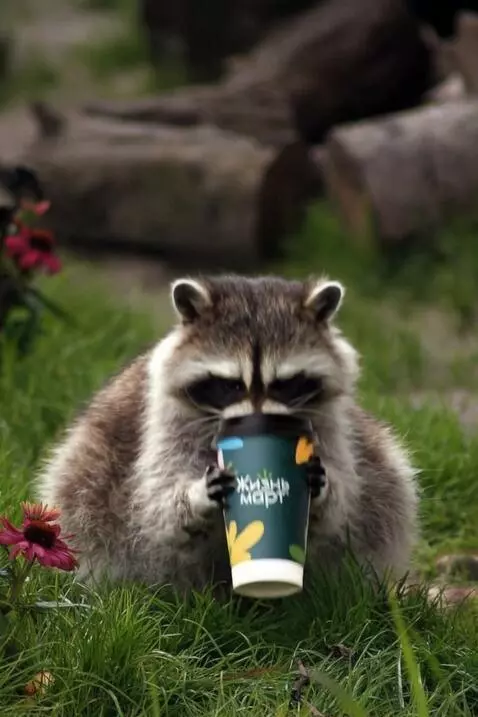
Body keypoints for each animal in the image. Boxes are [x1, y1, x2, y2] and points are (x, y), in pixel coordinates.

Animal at [36, 274, 419, 593]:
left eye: (284, 384)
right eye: (231, 385)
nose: (258, 426)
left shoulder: (328, 418)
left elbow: (342, 494)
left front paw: (322, 488)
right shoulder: (166, 418)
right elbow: (157, 501)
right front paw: (195, 496)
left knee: (390, 486)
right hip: (92, 469)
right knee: (81, 487)